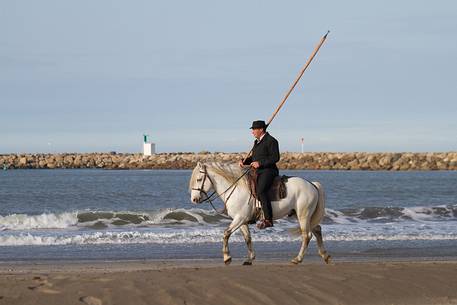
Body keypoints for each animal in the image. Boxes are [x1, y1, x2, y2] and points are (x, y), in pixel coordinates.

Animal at [187, 162, 330, 264]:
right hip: (300, 215)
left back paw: (298, 259)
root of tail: (312, 185)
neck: (236, 188)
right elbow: (247, 238)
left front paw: (227, 257)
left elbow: (226, 233)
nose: (194, 199)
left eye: (199, 179)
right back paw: (325, 255)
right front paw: (249, 258)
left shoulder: (239, 218)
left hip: (303, 215)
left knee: (307, 235)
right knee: (317, 229)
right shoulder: (241, 221)